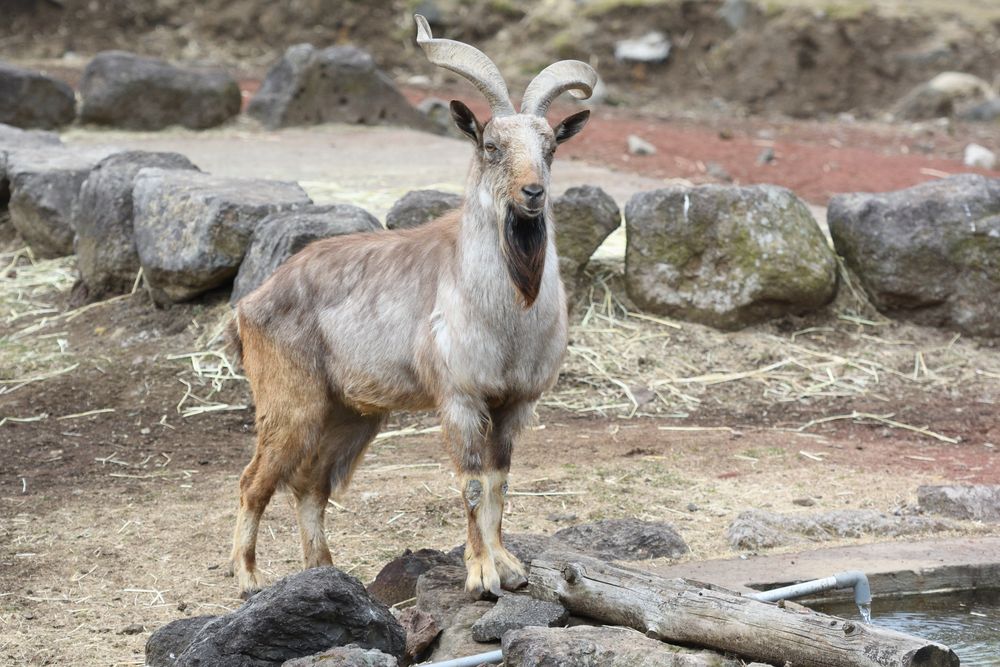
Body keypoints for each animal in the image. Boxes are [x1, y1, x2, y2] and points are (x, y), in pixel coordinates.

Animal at [227, 14, 597, 599]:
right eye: (491, 145)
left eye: (550, 146)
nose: (533, 193)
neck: (510, 313)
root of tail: (248, 307)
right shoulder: (460, 399)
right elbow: (471, 484)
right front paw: (481, 575)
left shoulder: (514, 405)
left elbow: (499, 483)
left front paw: (509, 567)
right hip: (292, 405)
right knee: (254, 481)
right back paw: (248, 580)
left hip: (351, 414)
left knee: (310, 483)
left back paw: (325, 572)